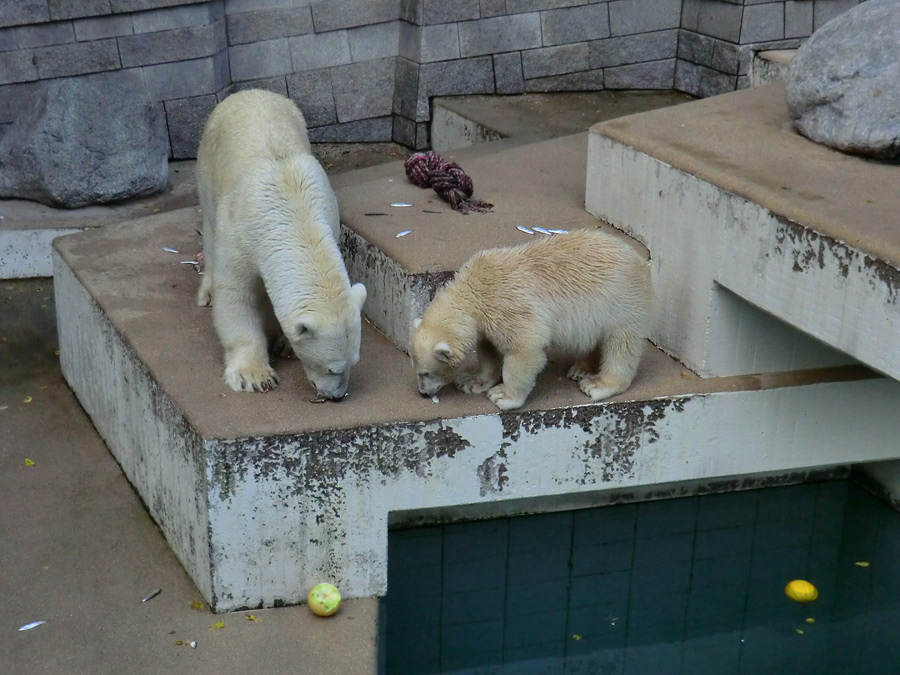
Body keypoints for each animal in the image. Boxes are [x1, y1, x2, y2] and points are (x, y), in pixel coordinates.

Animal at [197, 87, 366, 398]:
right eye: (331, 368)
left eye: (354, 361)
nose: (336, 396)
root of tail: (249, 92)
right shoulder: (240, 233)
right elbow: (236, 296)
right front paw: (254, 375)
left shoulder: (329, 215)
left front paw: (284, 343)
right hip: (207, 165)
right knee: (210, 228)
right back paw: (207, 292)